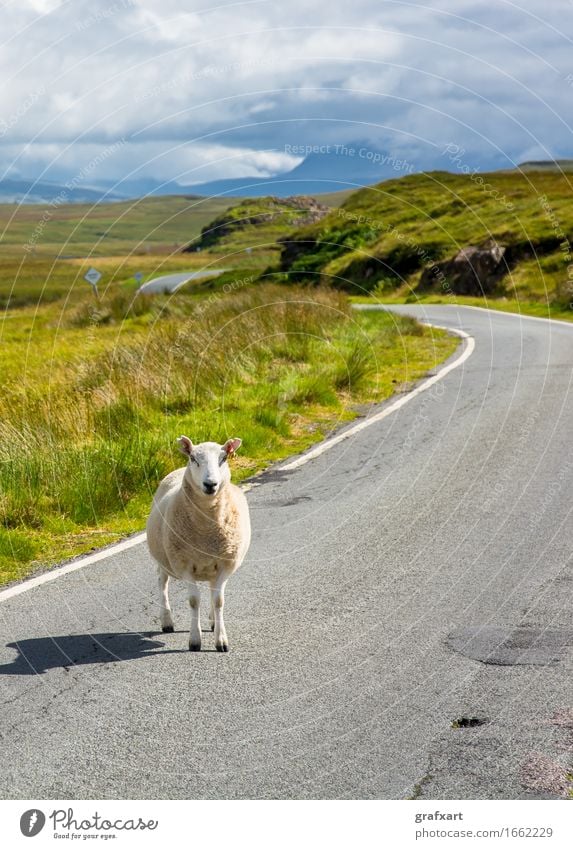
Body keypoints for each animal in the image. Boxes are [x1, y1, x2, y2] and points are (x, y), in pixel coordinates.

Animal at [145, 434, 250, 652]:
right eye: (194, 459)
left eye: (224, 458)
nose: (210, 484)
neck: (206, 532)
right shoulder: (183, 564)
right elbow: (194, 600)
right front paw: (194, 640)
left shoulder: (225, 563)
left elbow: (218, 600)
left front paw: (221, 640)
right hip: (164, 558)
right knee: (162, 582)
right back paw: (166, 621)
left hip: (212, 566)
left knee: (211, 590)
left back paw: (212, 621)